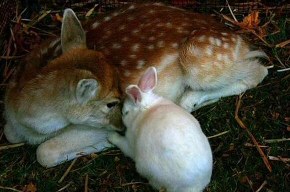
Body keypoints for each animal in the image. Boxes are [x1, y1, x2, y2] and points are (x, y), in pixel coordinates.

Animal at [3, 3, 268, 167]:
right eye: (111, 102)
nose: (123, 125)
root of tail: (242, 41)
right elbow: (8, 133)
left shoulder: (91, 126)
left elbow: (44, 153)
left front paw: (100, 144)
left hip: (200, 58)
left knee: (259, 71)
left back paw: (187, 100)